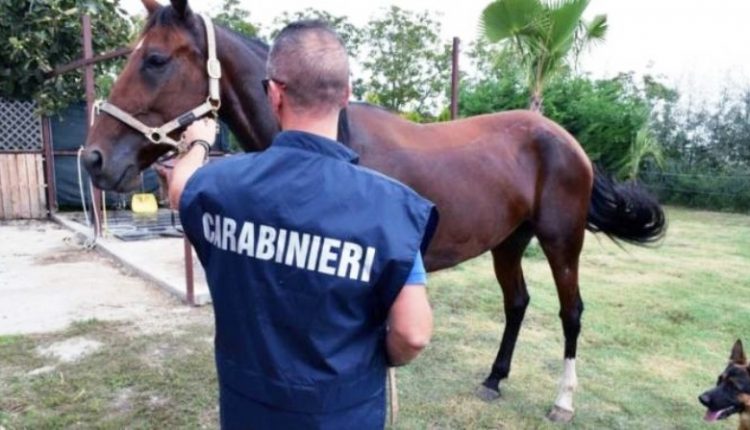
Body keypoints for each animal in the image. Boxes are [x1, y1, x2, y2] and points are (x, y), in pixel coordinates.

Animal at [82, 0, 666, 422]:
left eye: (155, 60)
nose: (93, 158)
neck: (331, 140)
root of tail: (565, 140)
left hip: (561, 240)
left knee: (571, 312)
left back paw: (562, 401)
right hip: (509, 241)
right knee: (517, 303)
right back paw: (494, 379)